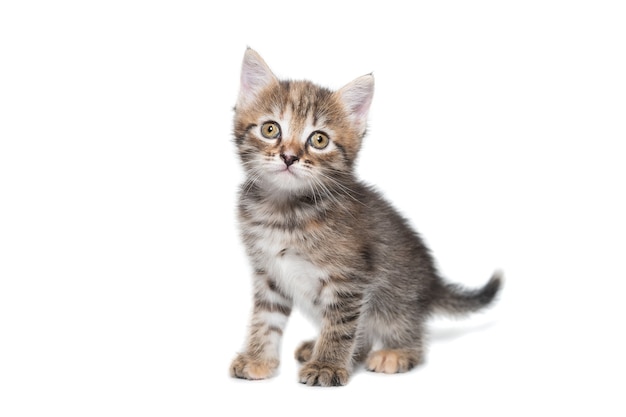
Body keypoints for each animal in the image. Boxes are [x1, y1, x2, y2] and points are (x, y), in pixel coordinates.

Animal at [227, 49, 500, 386]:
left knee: (404, 330)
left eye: (319, 140)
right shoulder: (269, 274)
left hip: (395, 297)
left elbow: (340, 325)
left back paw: (396, 352)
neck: (285, 210)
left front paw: (327, 366)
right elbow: (266, 318)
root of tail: (433, 284)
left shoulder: (349, 277)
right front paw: (258, 359)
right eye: (270, 129)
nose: (289, 157)